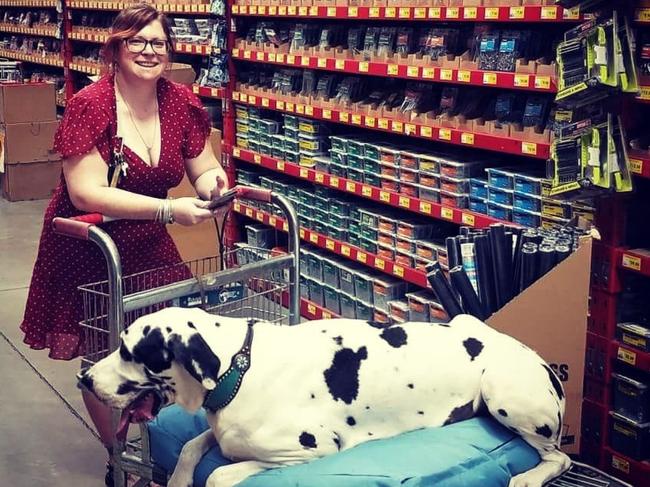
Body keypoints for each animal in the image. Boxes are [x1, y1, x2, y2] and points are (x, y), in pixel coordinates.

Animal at [79, 308, 568, 487]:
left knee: (558, 458)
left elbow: (218, 474)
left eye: (128, 350)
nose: (84, 378)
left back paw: (529, 477)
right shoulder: (221, 432)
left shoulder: (306, 452)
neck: (240, 366)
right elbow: (190, 448)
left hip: (505, 394)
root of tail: (543, 361)